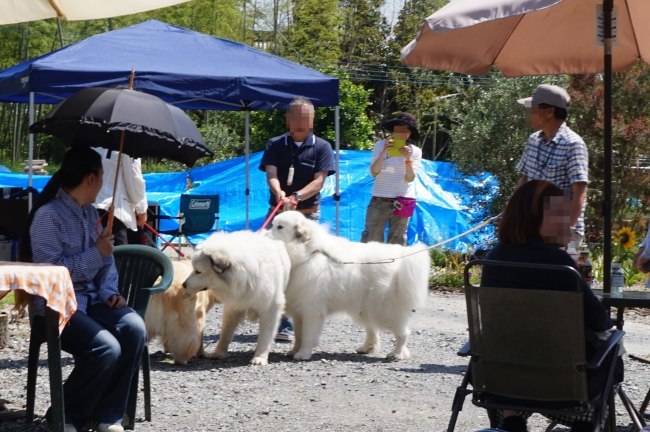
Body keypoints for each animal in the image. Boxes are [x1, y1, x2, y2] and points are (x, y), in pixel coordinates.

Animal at [268, 211, 430, 360]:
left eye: (280, 227)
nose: (265, 236)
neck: (308, 254)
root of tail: (401, 258)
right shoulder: (298, 312)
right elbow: (299, 335)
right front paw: (294, 350)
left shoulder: (311, 310)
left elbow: (308, 335)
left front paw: (303, 354)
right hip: (366, 308)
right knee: (373, 330)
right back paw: (367, 348)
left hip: (384, 310)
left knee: (403, 333)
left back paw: (397, 354)